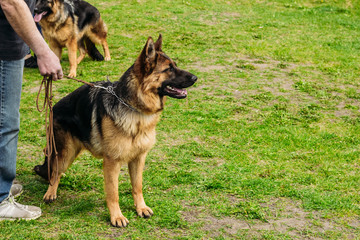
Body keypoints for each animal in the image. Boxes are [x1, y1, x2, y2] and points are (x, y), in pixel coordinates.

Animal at [33, 34, 197, 227]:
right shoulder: (112, 162)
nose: (195, 77)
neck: (136, 110)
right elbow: (113, 193)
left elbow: (137, 186)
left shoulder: (138, 158)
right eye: (169, 69)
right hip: (66, 153)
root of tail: (54, 106)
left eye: (175, 65)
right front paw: (117, 217)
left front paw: (141, 208)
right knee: (55, 172)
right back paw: (50, 192)